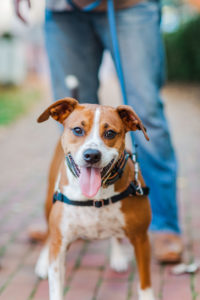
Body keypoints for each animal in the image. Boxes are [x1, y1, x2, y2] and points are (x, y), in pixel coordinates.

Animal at [34, 98, 155, 300]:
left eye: (110, 133)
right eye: (77, 130)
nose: (91, 155)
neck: (95, 198)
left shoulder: (141, 239)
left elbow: (145, 285)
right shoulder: (59, 245)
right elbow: (56, 287)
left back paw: (118, 257)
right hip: (47, 205)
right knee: (47, 236)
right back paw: (42, 262)